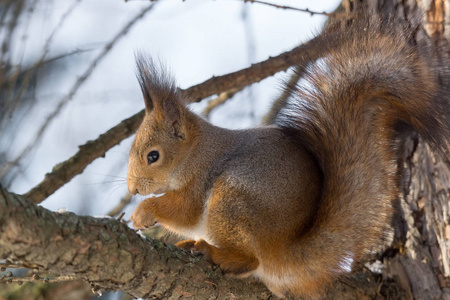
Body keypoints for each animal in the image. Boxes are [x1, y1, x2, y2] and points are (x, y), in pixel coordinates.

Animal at [125, 17, 450, 300]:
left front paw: (143, 212)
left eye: (153, 155)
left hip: (231, 201)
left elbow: (185, 211)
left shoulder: (202, 175)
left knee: (248, 260)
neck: (193, 152)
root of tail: (284, 251)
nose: (132, 189)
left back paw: (213, 252)